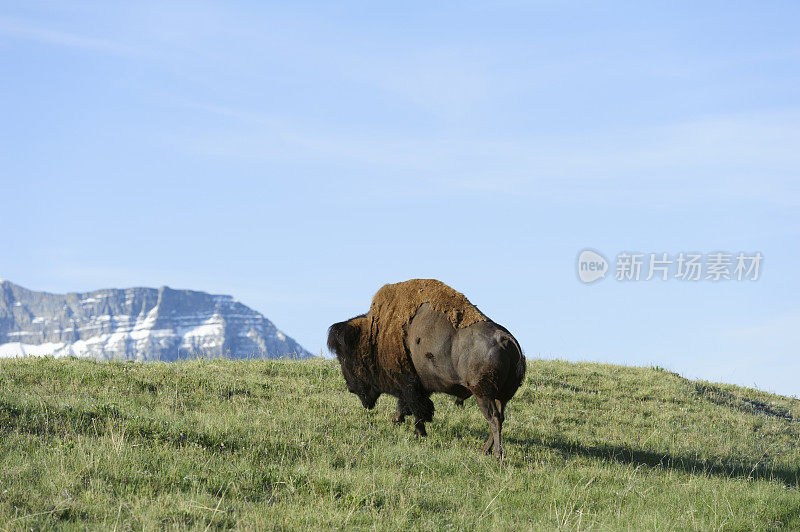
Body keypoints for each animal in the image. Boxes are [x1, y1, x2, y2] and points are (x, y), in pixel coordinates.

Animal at [324, 278, 524, 458]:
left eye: (347, 358)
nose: (350, 388)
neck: (376, 334)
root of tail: (504, 339)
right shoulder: (417, 386)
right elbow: (407, 406)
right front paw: (397, 421)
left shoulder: (408, 383)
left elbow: (416, 408)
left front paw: (418, 433)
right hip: (501, 396)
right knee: (499, 418)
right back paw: (485, 450)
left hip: (483, 394)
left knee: (494, 419)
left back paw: (496, 455)